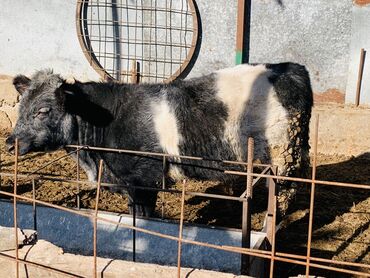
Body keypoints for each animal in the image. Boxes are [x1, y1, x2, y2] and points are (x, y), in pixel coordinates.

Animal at [5, 63, 312, 217]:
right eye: (21, 106)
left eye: (43, 110)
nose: (10, 142)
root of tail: (291, 67)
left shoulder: (144, 179)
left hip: (281, 156)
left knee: (283, 195)